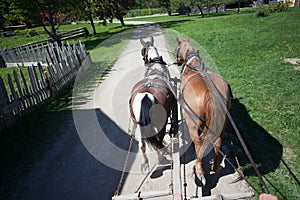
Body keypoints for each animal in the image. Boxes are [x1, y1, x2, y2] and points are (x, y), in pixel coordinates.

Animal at [129, 36, 176, 173]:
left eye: (143, 51)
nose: (144, 61)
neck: (156, 66)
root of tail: (145, 95)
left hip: (139, 124)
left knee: (142, 144)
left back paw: (145, 163)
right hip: (161, 123)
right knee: (158, 139)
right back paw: (160, 158)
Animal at [176, 37, 232, 186]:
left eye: (177, 49)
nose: (178, 60)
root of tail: (210, 92)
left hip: (193, 123)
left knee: (198, 142)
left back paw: (199, 170)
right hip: (222, 123)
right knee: (218, 142)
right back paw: (215, 167)